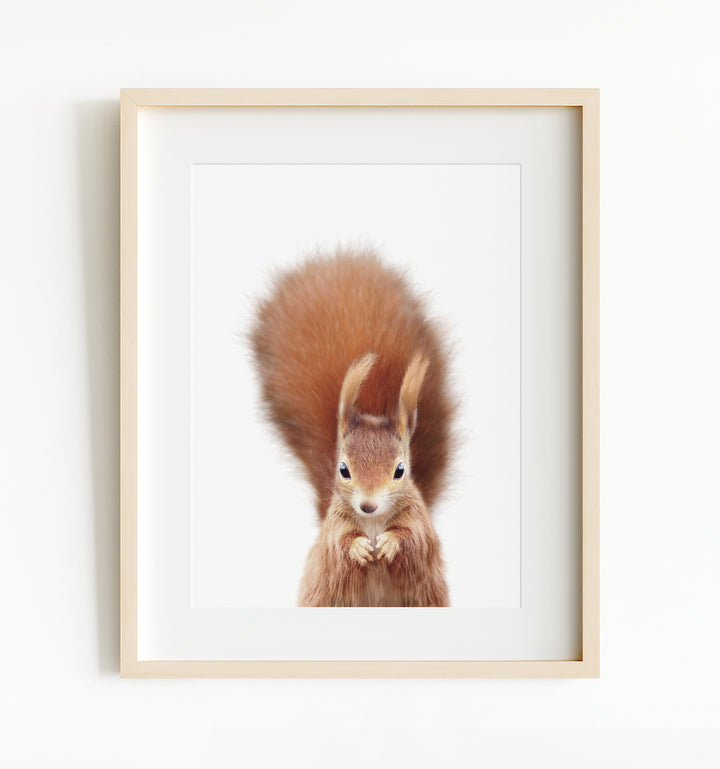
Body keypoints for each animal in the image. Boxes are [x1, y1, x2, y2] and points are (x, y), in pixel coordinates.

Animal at [249, 247, 456, 607]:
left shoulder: (419, 525)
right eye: (343, 469)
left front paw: (390, 543)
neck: (373, 522)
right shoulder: (334, 529)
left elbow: (413, 539)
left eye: (400, 470)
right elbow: (340, 543)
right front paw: (359, 548)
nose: (368, 505)